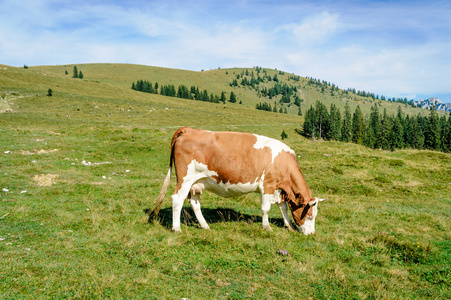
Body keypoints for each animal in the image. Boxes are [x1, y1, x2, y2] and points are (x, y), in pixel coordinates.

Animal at [148, 126, 324, 234]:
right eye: (309, 216)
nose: (312, 233)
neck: (284, 161)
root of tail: (188, 130)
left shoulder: (279, 188)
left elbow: (283, 207)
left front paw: (289, 226)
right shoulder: (267, 185)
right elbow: (266, 208)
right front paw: (267, 227)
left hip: (197, 182)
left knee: (194, 203)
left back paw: (205, 225)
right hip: (185, 179)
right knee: (177, 199)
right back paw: (176, 228)